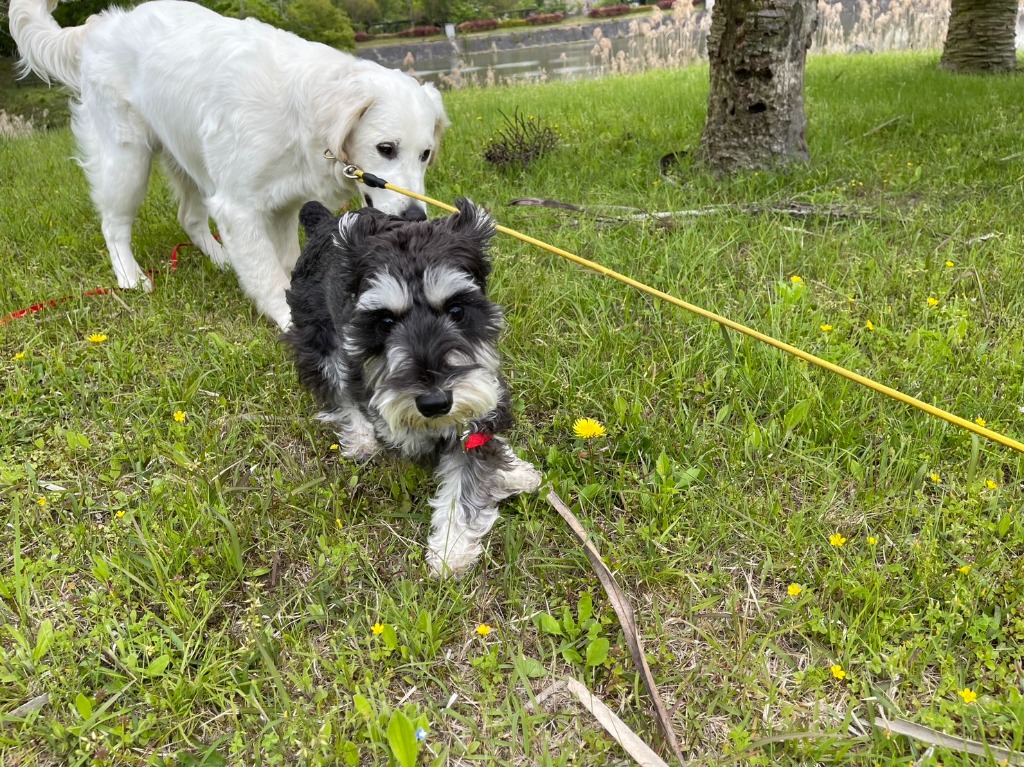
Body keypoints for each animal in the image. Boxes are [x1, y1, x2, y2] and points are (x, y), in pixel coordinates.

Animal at [8, 0, 448, 330]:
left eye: (425, 154)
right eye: (385, 148)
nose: (416, 217)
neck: (302, 111)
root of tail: (102, 24)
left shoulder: (282, 205)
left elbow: (285, 263)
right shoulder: (238, 207)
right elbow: (268, 275)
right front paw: (293, 323)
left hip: (189, 162)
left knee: (188, 217)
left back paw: (220, 259)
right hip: (127, 159)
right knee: (113, 225)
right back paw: (131, 277)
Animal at [283, 198, 542, 575]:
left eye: (457, 310)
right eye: (385, 321)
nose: (435, 402)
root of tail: (324, 221)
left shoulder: (480, 403)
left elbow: (470, 474)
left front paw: (451, 547)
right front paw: (450, 551)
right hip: (318, 339)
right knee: (337, 392)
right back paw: (361, 440)